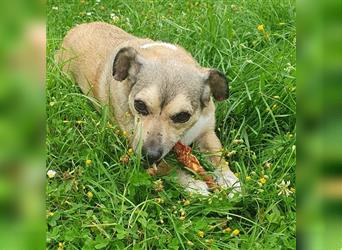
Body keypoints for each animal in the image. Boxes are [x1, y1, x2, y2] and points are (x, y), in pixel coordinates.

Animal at [56, 21, 240, 195]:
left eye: (183, 116)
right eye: (140, 105)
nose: (149, 155)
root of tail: (76, 28)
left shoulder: (206, 132)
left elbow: (218, 156)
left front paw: (230, 180)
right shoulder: (135, 143)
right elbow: (170, 168)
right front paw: (193, 185)